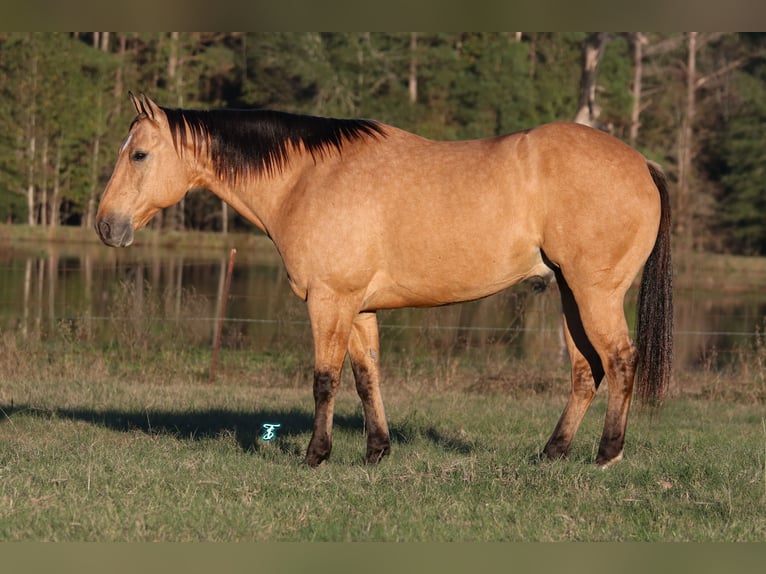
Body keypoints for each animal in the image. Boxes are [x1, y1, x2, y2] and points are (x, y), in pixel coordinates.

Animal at [94, 94, 672, 470]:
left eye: (139, 154)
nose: (105, 226)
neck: (308, 178)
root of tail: (641, 162)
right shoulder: (359, 307)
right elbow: (366, 377)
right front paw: (376, 452)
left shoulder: (329, 301)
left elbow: (325, 380)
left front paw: (316, 456)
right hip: (571, 295)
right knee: (585, 371)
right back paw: (551, 454)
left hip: (595, 294)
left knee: (619, 360)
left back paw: (606, 455)